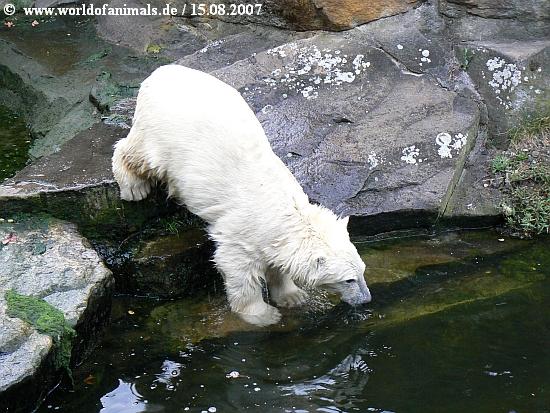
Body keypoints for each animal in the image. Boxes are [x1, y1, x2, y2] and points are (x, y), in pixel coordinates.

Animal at [112, 65, 371, 326]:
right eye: (348, 280)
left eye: (362, 270)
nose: (367, 299)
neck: (283, 210)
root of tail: (160, 73)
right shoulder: (241, 231)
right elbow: (238, 269)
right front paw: (263, 314)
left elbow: (277, 263)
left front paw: (293, 296)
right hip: (162, 135)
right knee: (139, 154)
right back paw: (134, 188)